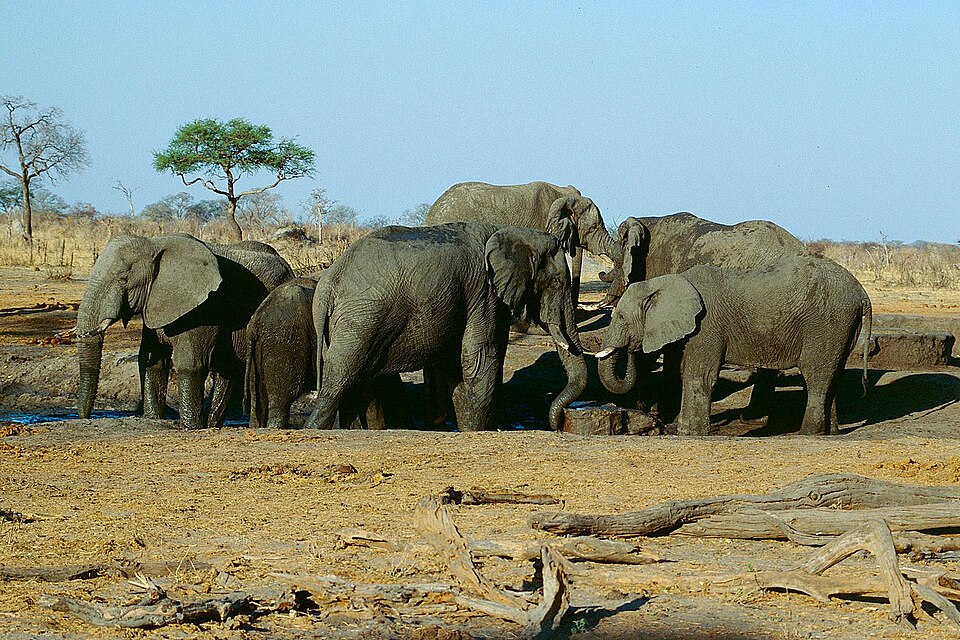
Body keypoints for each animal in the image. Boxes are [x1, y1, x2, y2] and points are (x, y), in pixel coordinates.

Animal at [76, 233, 294, 429]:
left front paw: (191, 427)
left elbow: (190, 363)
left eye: (123, 279)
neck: (154, 243)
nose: (84, 417)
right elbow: (152, 362)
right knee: (227, 371)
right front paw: (154, 419)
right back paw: (213, 424)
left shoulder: (203, 307)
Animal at [303, 222, 588, 432]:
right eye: (556, 283)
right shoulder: (485, 293)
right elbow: (481, 357)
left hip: (346, 325)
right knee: (340, 379)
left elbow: (458, 366)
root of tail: (328, 282)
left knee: (355, 384)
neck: (512, 232)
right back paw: (314, 428)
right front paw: (479, 431)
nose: (558, 425)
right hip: (361, 321)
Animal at [596, 256, 872, 436]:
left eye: (621, 317)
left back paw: (807, 433)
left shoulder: (706, 326)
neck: (668, 282)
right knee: (833, 375)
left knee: (816, 375)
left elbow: (700, 376)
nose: (631, 349)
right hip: (843, 327)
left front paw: (692, 434)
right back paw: (831, 432)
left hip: (825, 323)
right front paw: (683, 430)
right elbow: (687, 373)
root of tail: (862, 294)